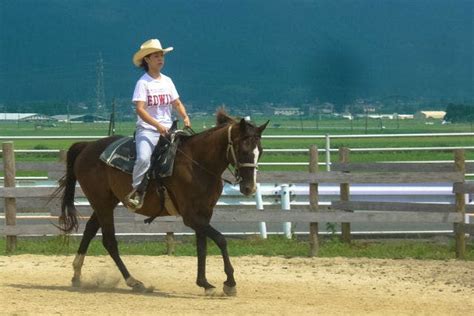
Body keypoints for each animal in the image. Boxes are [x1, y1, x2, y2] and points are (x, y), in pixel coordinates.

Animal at [55, 109, 268, 296]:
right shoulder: (190, 217)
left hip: (105, 203)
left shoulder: (204, 213)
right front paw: (229, 283)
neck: (197, 164)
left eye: (260, 150)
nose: (249, 188)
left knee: (90, 230)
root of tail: (87, 146)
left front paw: (205, 284)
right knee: (109, 241)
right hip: (102, 204)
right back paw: (134, 282)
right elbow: (221, 239)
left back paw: (77, 275)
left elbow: (202, 246)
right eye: (242, 149)